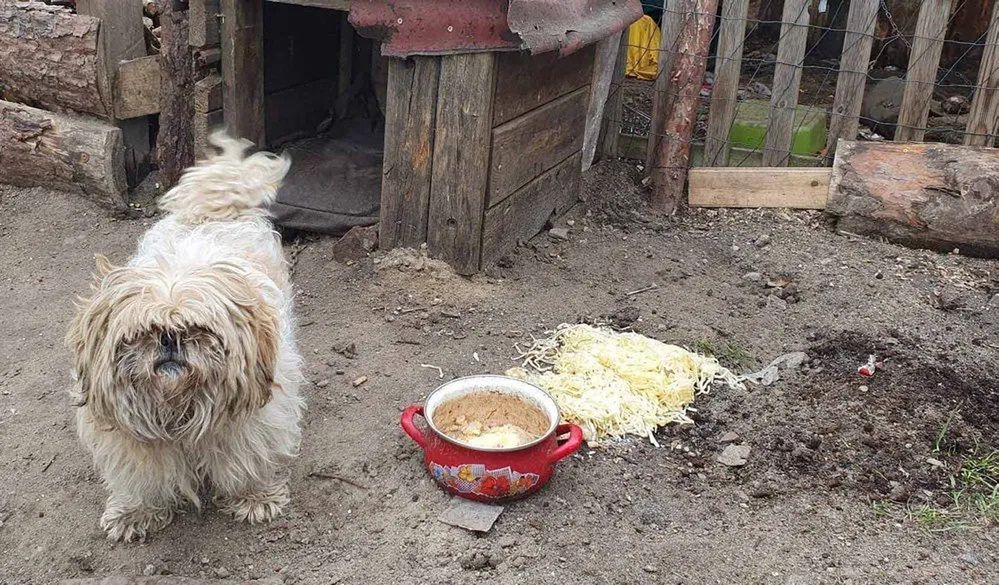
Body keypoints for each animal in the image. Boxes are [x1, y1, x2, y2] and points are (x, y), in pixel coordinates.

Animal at [66, 135, 304, 540]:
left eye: (198, 330)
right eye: (143, 333)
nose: (170, 340)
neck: (179, 406)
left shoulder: (253, 423)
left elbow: (249, 460)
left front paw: (254, 496)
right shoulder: (131, 444)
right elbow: (141, 479)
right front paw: (135, 512)